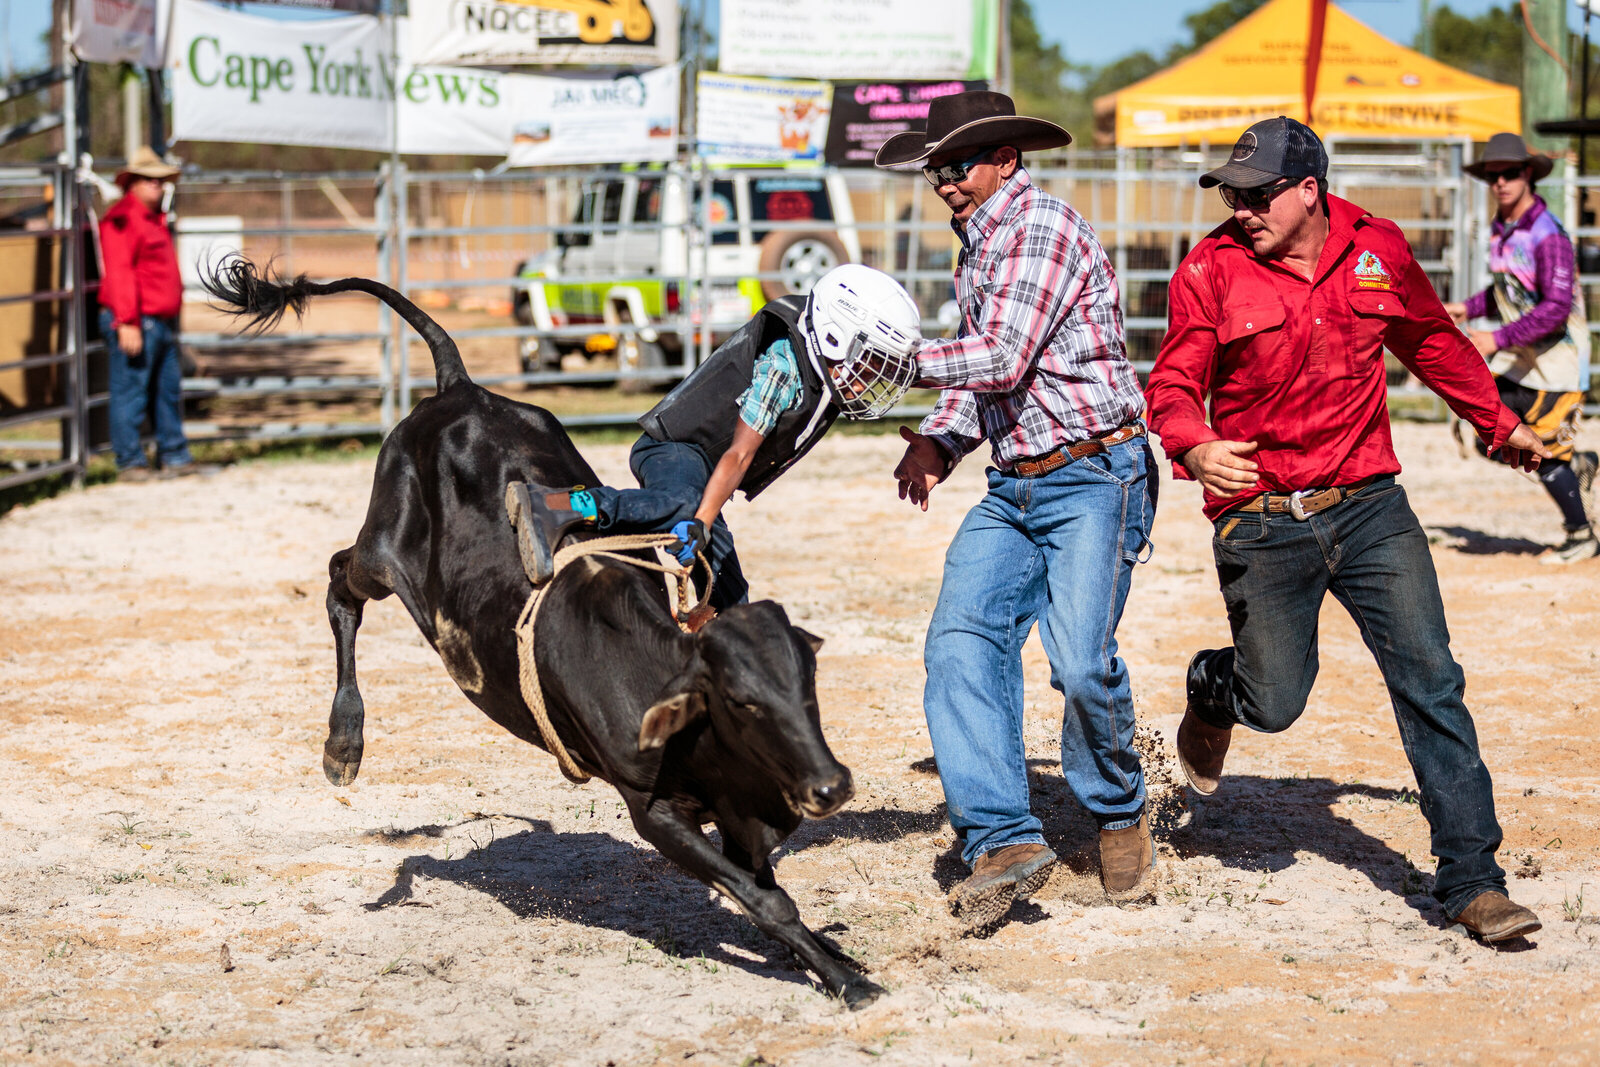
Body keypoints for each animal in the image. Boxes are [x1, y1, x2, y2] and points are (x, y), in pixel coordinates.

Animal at [203, 259, 889, 1011]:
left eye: (809, 686)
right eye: (743, 699)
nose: (830, 786)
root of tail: (460, 387)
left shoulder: (743, 804)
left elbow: (770, 889)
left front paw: (832, 954)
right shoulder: (654, 810)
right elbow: (764, 900)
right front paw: (850, 983)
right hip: (384, 550)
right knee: (338, 582)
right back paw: (343, 743)